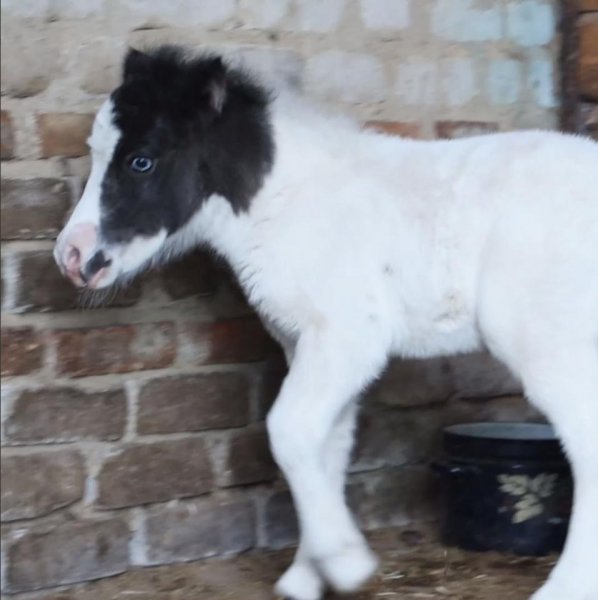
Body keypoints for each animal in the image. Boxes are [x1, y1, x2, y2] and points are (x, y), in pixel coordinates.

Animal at [55, 48, 598, 600]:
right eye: (96, 152)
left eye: (141, 160)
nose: (71, 256)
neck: (286, 203)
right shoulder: (307, 344)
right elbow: (325, 448)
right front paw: (305, 576)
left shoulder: (348, 338)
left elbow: (289, 431)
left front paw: (345, 561)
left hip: (552, 347)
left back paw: (565, 586)